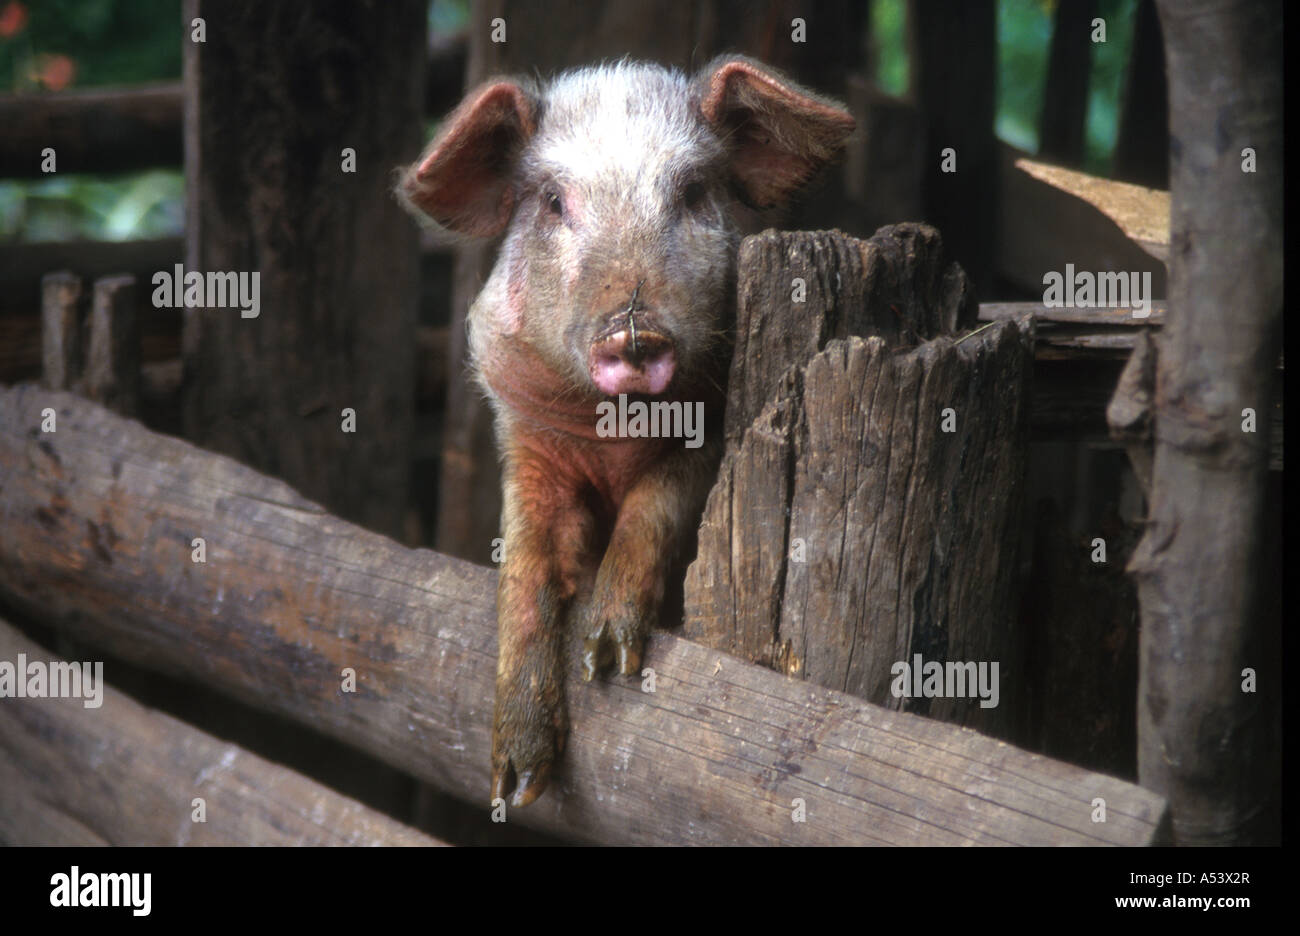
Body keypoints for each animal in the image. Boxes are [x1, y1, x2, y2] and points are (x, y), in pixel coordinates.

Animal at [400, 56, 857, 806]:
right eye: (553, 201)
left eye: (692, 192)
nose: (634, 330)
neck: (610, 434)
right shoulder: (525, 438)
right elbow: (524, 568)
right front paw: (517, 784)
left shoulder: (705, 437)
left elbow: (654, 509)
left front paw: (606, 658)